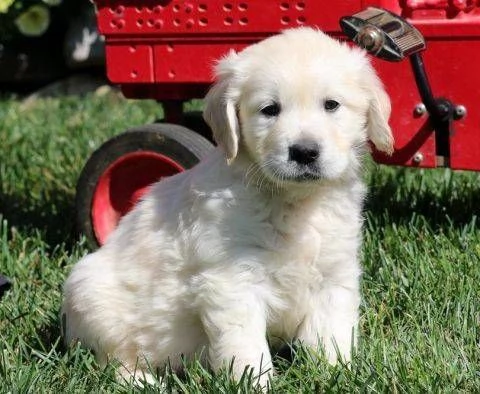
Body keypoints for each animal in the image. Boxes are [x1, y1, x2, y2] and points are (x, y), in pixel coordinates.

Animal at [62, 26, 394, 388]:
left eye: (331, 105)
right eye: (269, 109)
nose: (304, 152)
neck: (293, 200)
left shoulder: (334, 273)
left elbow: (331, 333)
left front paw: (337, 373)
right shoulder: (233, 280)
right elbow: (245, 346)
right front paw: (254, 384)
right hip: (91, 296)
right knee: (112, 361)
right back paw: (143, 381)